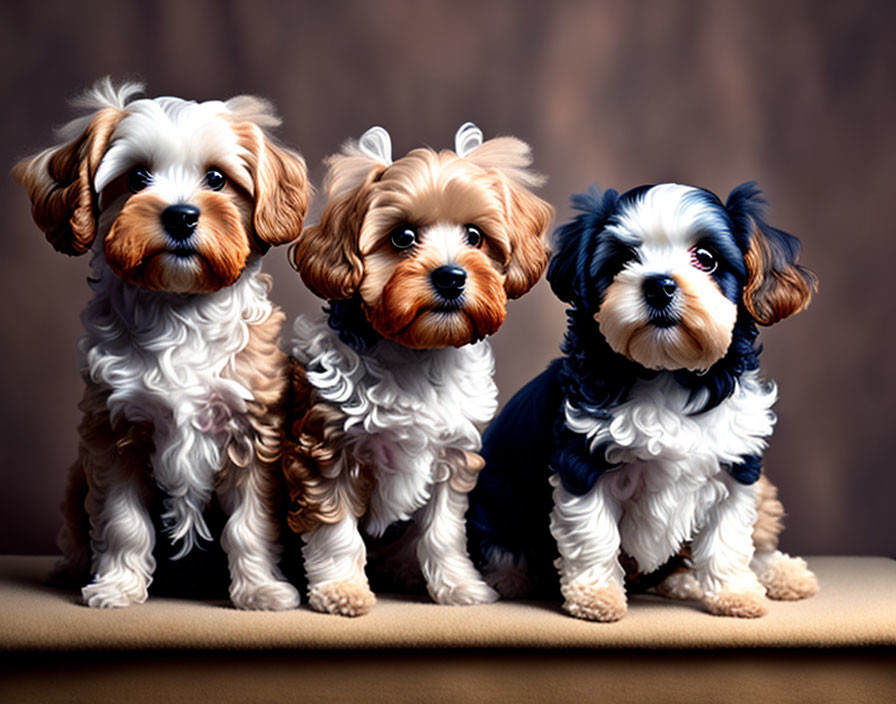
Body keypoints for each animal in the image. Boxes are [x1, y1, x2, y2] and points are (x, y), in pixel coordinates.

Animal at [12, 74, 308, 608]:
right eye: (136, 178)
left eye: (217, 180)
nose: (181, 216)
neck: (179, 311)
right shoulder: (114, 432)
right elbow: (123, 522)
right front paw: (117, 585)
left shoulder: (252, 432)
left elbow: (249, 525)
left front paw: (260, 590)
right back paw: (72, 567)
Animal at [286, 122, 552, 616]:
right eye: (403, 237)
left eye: (475, 236)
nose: (451, 276)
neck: (414, 354)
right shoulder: (326, 452)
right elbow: (336, 532)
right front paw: (342, 590)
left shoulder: (453, 456)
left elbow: (443, 534)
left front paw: (459, 586)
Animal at [468, 184, 820, 620]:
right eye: (622, 260)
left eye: (706, 258)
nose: (659, 284)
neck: (666, 372)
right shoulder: (582, 461)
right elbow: (594, 534)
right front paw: (597, 597)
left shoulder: (735, 465)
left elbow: (728, 536)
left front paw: (735, 593)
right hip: (497, 497)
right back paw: (513, 577)